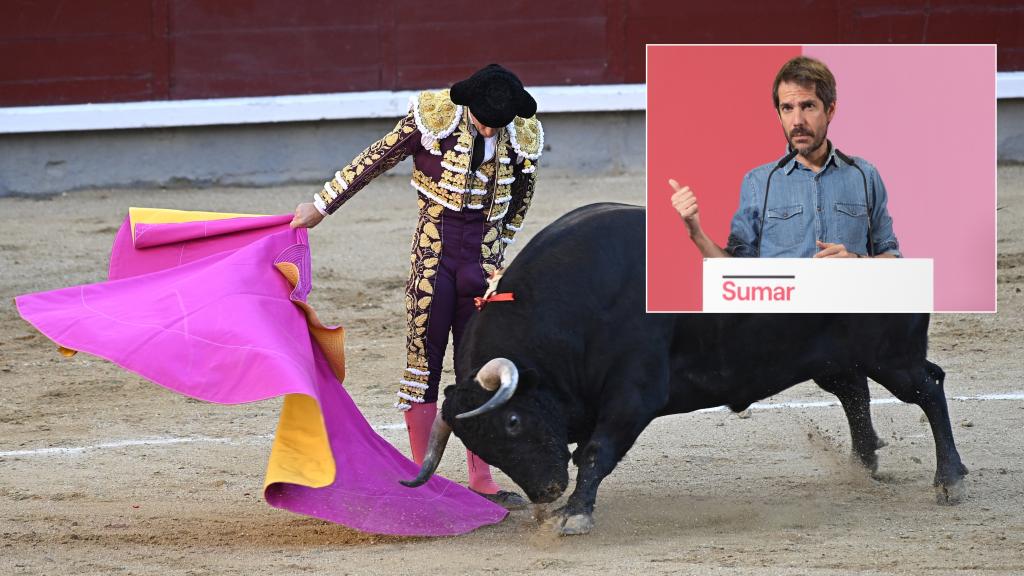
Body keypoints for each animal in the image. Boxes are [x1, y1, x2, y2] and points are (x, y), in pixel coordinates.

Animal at [399, 202, 966, 532]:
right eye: (482, 445)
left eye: (514, 421)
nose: (545, 493)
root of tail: (880, 253)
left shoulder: (634, 393)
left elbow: (596, 451)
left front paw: (576, 515)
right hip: (837, 359)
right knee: (855, 393)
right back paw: (864, 465)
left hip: (893, 356)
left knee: (928, 388)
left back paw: (949, 482)